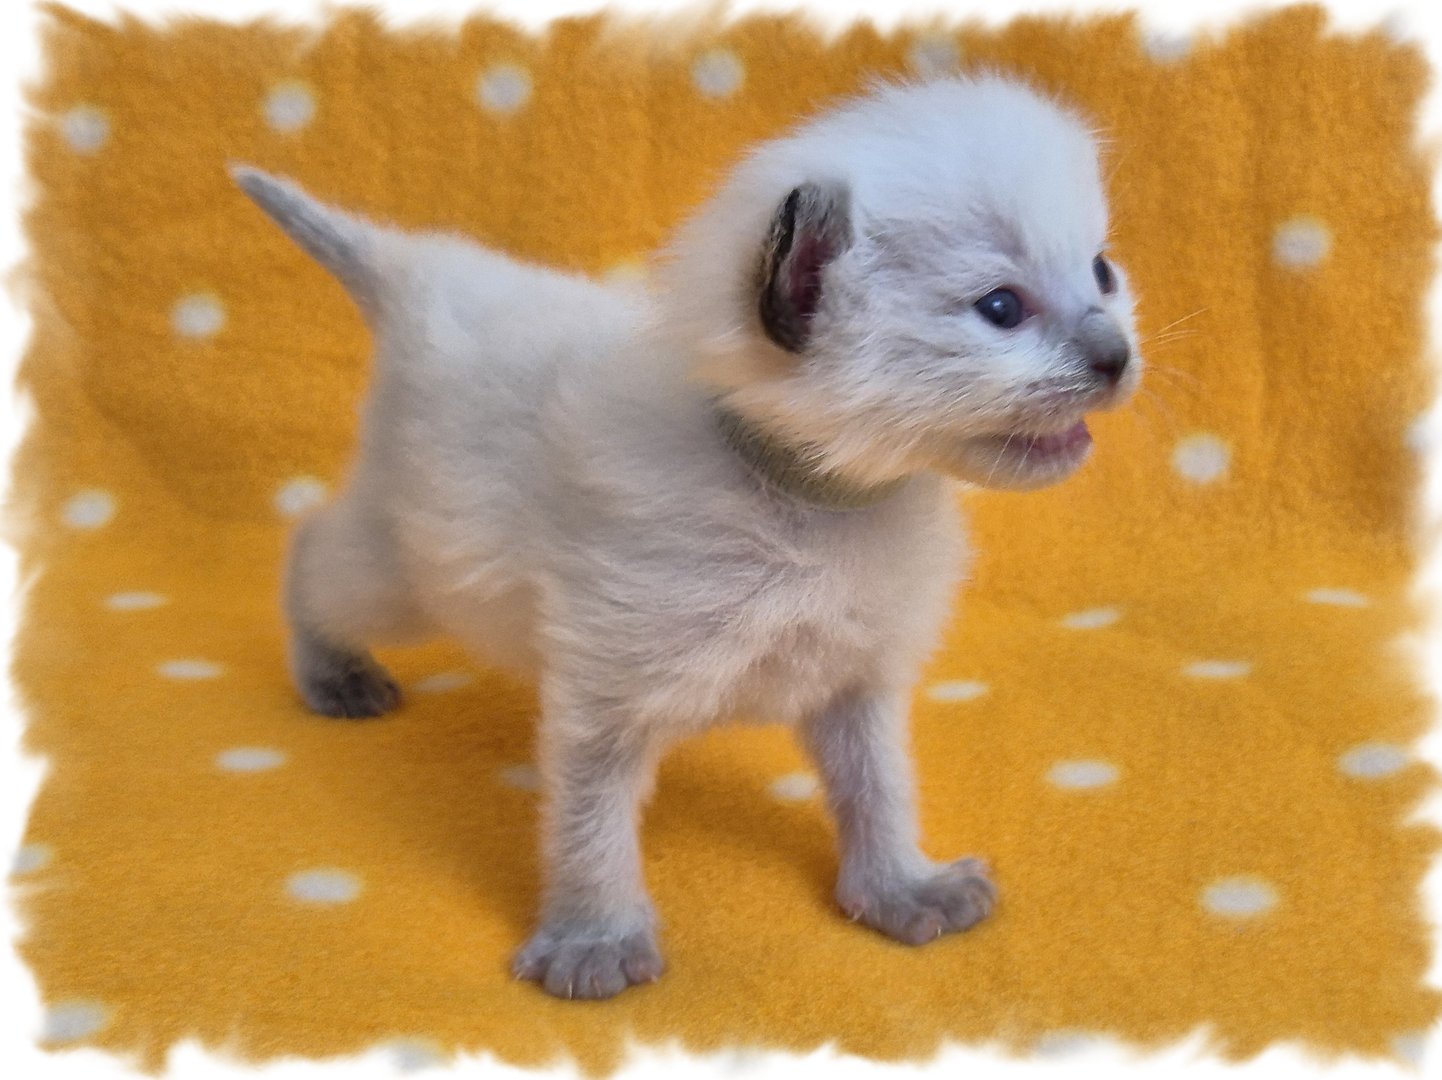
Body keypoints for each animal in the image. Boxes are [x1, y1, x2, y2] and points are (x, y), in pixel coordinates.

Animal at [233, 72, 1140, 1001]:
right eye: (1001, 309)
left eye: (1101, 272)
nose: (1117, 357)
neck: (817, 499)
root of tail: (428, 276)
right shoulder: (606, 698)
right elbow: (588, 827)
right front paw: (592, 939)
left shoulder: (859, 684)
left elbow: (880, 789)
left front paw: (899, 889)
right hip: (410, 573)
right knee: (310, 550)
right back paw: (334, 675)